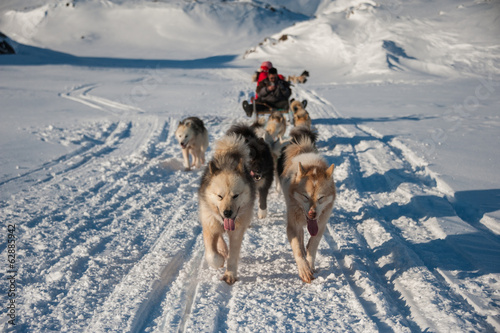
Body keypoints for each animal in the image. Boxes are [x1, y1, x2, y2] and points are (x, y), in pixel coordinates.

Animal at [198, 134, 256, 284]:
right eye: (220, 196)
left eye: (235, 195)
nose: (227, 213)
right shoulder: (209, 225)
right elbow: (212, 254)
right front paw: (219, 260)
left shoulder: (237, 232)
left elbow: (233, 255)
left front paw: (230, 274)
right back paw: (223, 250)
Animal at [278, 126, 336, 282]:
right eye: (305, 196)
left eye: (321, 198)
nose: (312, 213)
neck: (313, 167)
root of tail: (303, 147)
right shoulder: (292, 226)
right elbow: (297, 248)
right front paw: (304, 269)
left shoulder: (320, 225)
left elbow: (312, 246)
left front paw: (310, 264)